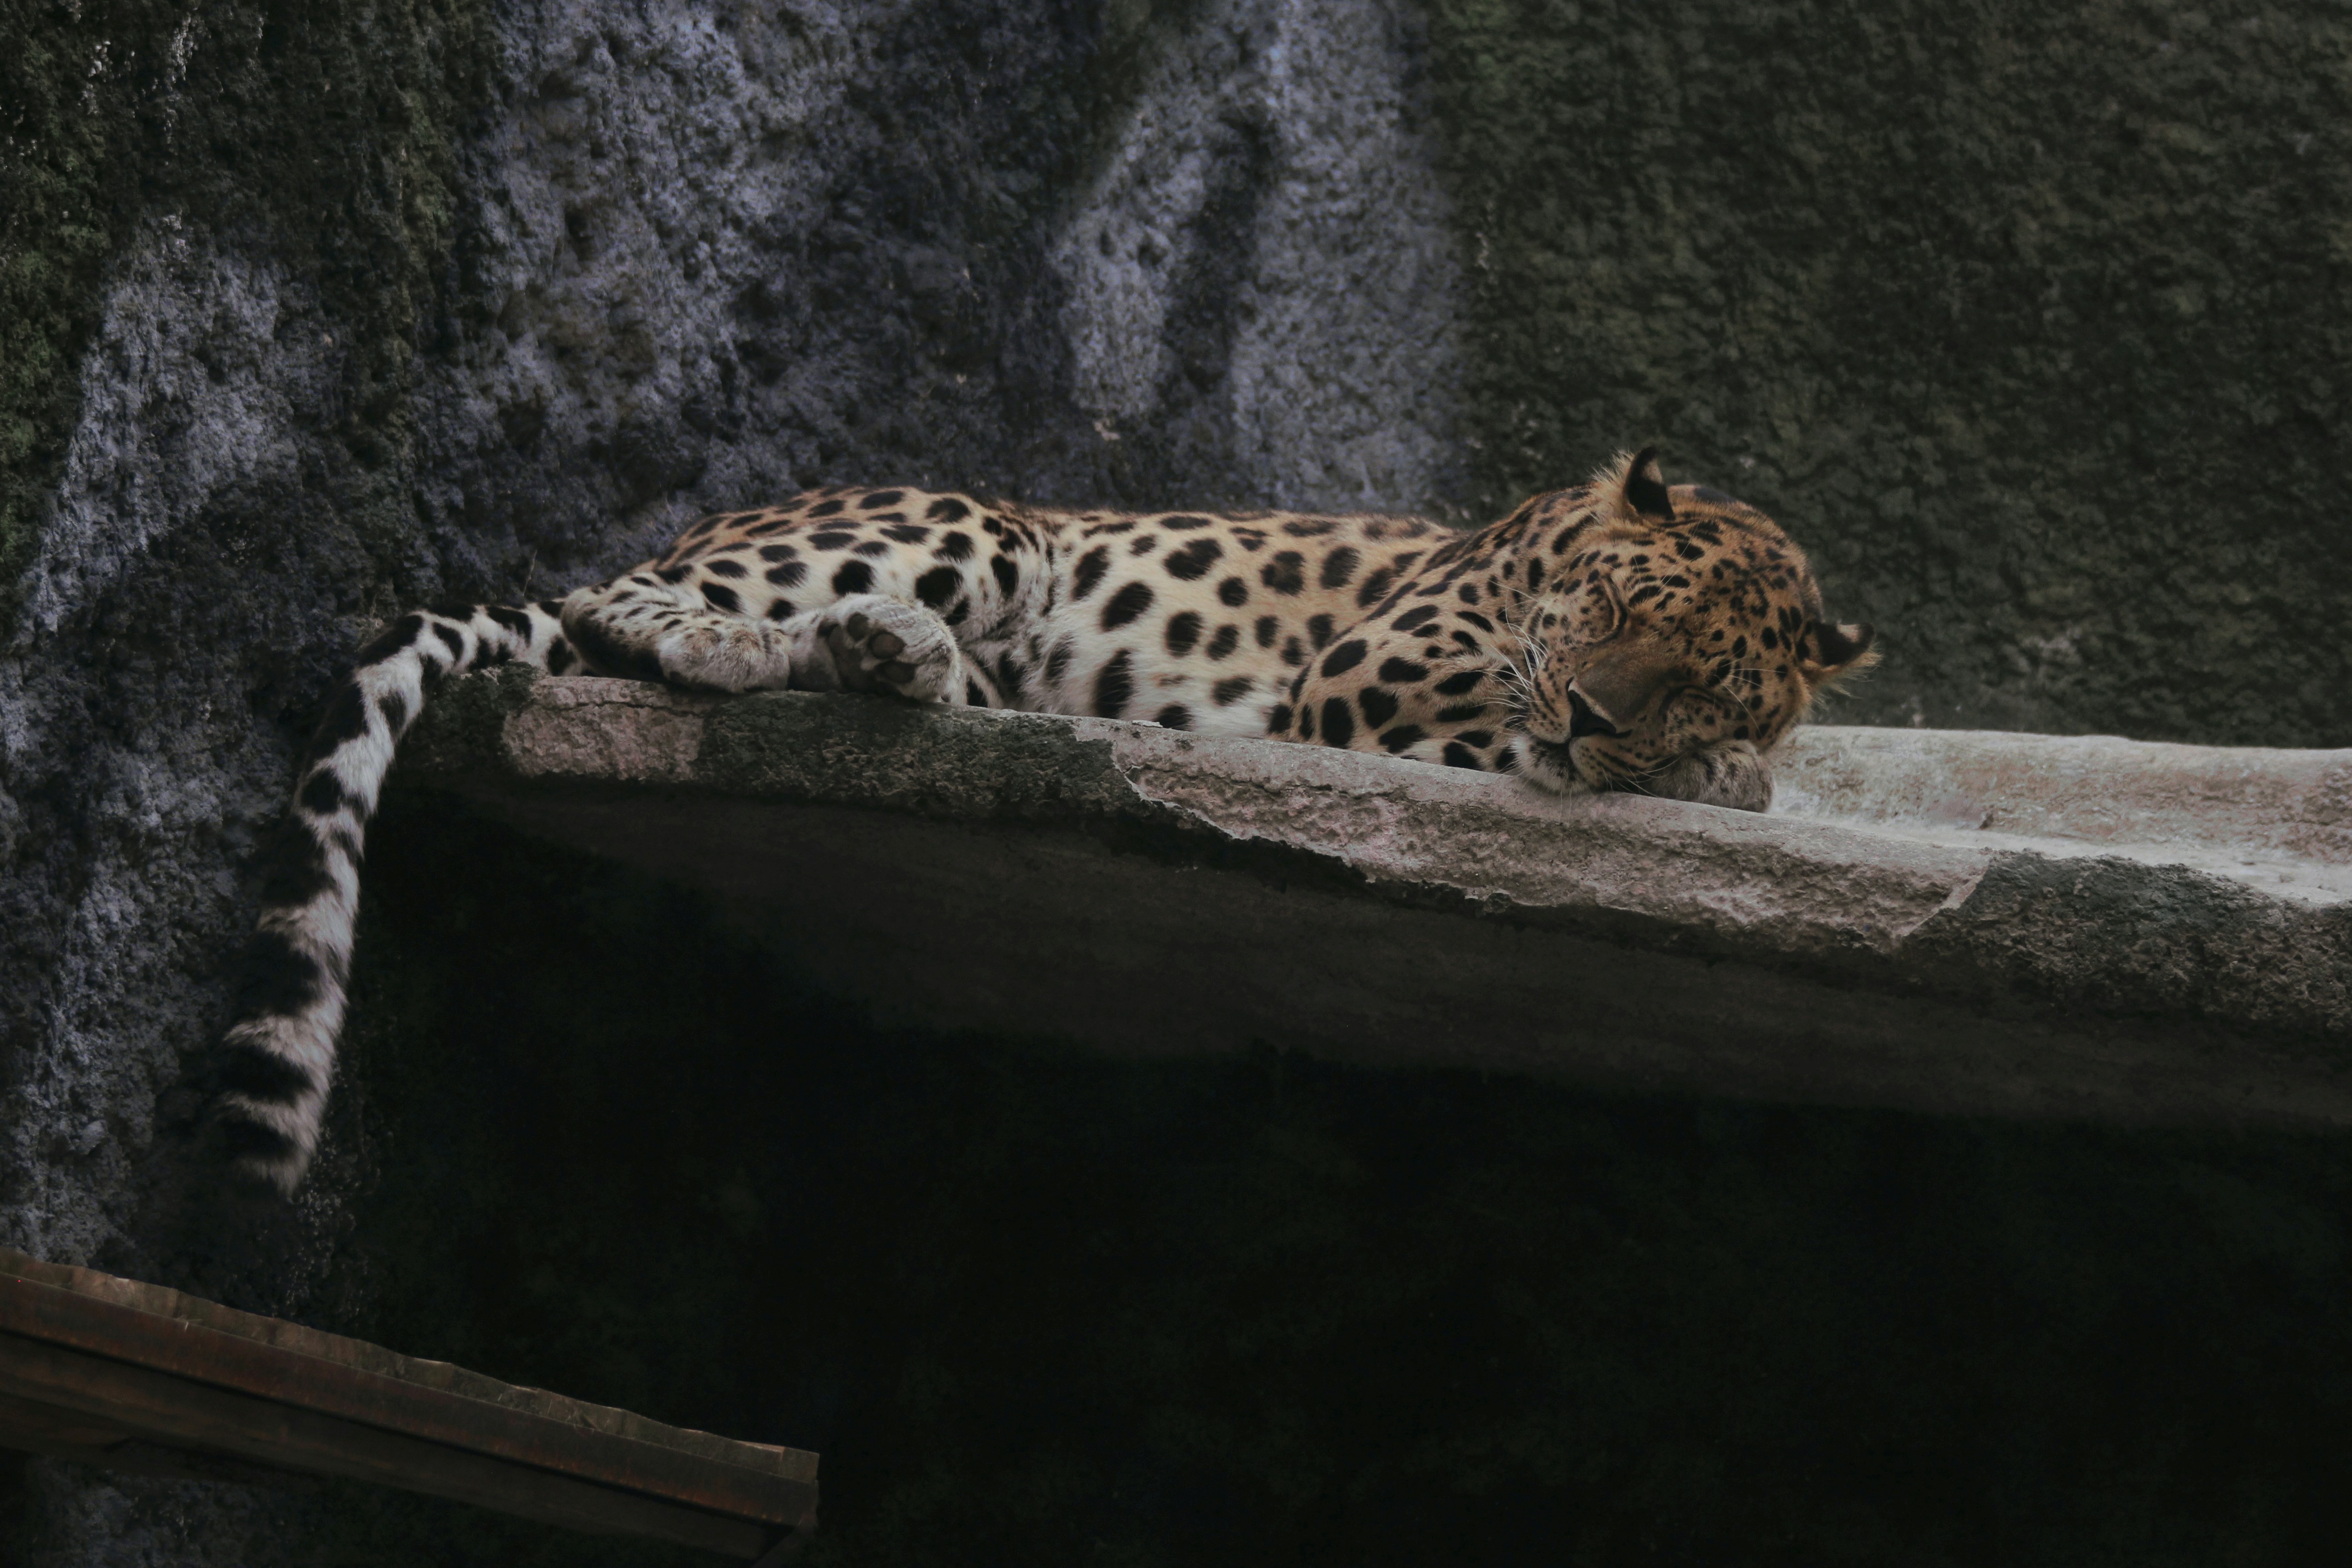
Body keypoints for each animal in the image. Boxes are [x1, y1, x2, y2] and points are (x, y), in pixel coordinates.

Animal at [210, 447, 1874, 1193]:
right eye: (1619, 610)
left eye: (1703, 676)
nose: (1598, 715)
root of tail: (705, 523)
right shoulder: (1369, 681)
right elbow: (1519, 726)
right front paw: (1702, 779)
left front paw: (1715, 765)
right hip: (971, 523)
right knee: (620, 604)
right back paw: (793, 644)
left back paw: (903, 661)